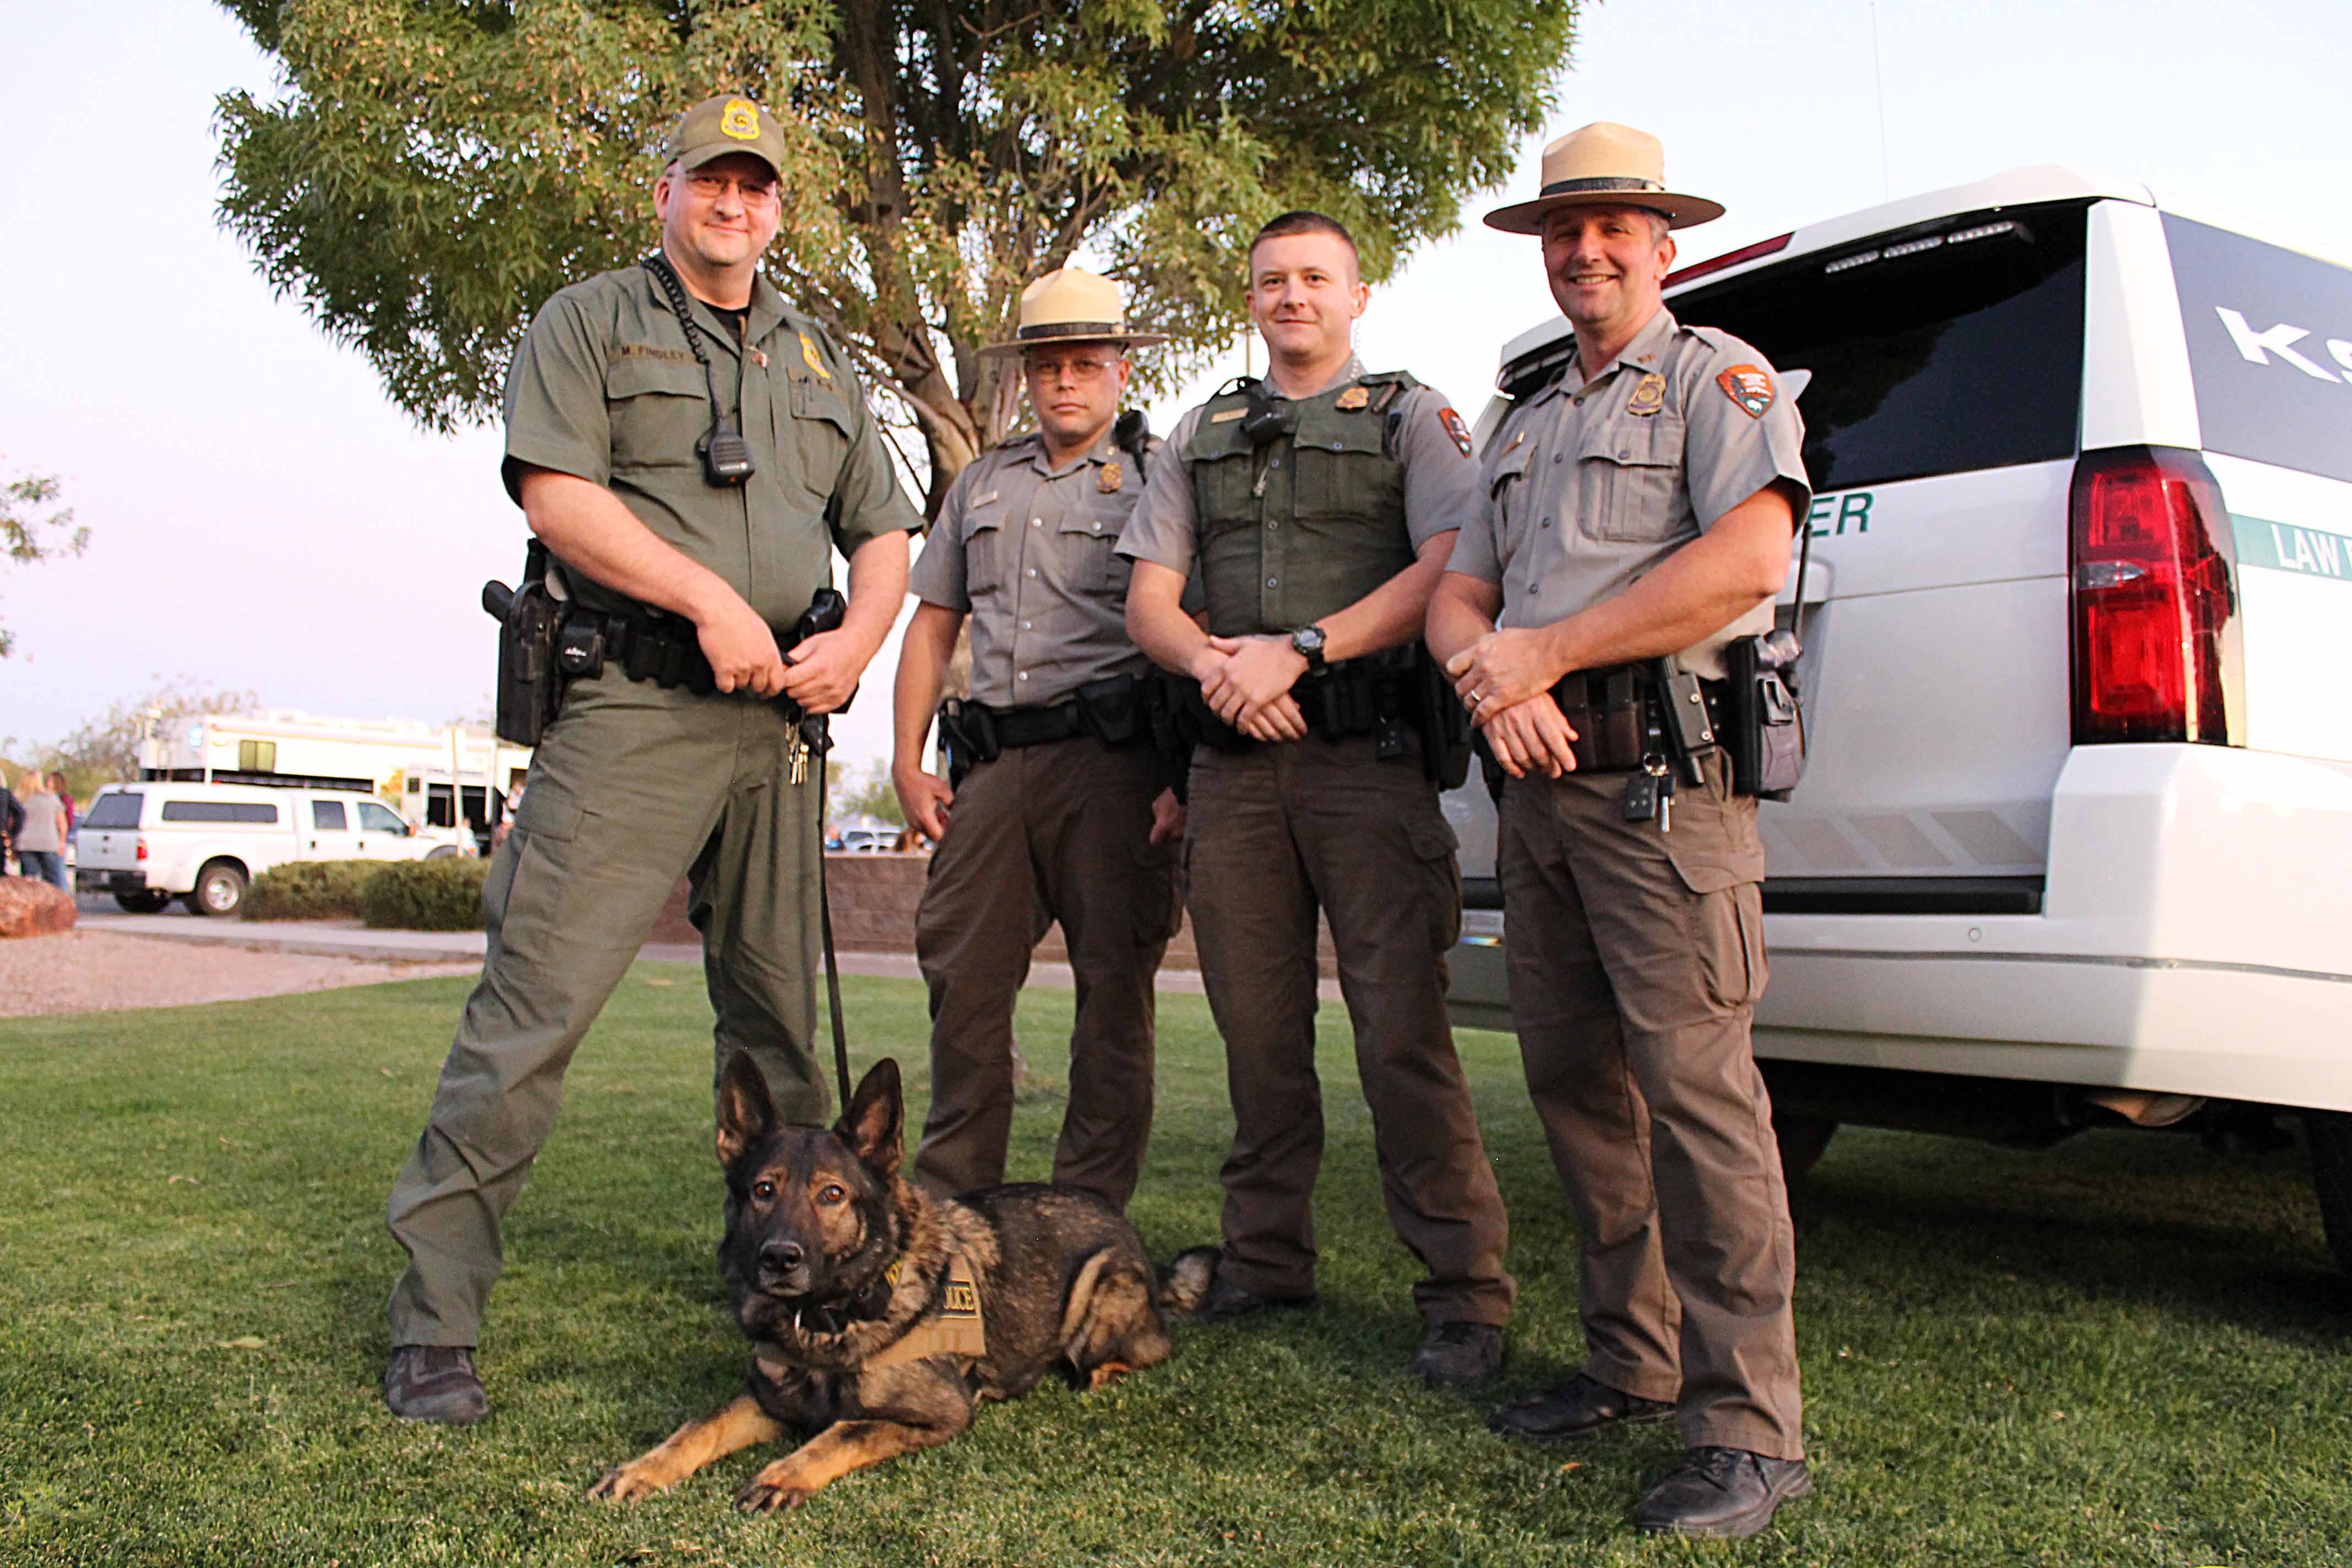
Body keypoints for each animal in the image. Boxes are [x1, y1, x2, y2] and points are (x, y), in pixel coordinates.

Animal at [592, 1048, 1171, 1513]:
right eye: (763, 1190)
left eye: (832, 1195)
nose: (780, 1258)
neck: (829, 1317)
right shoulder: (767, 1400)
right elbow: (699, 1426)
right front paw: (642, 1469)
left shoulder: (937, 1414)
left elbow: (844, 1429)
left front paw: (782, 1475)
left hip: (1101, 1292)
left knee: (1139, 1351)